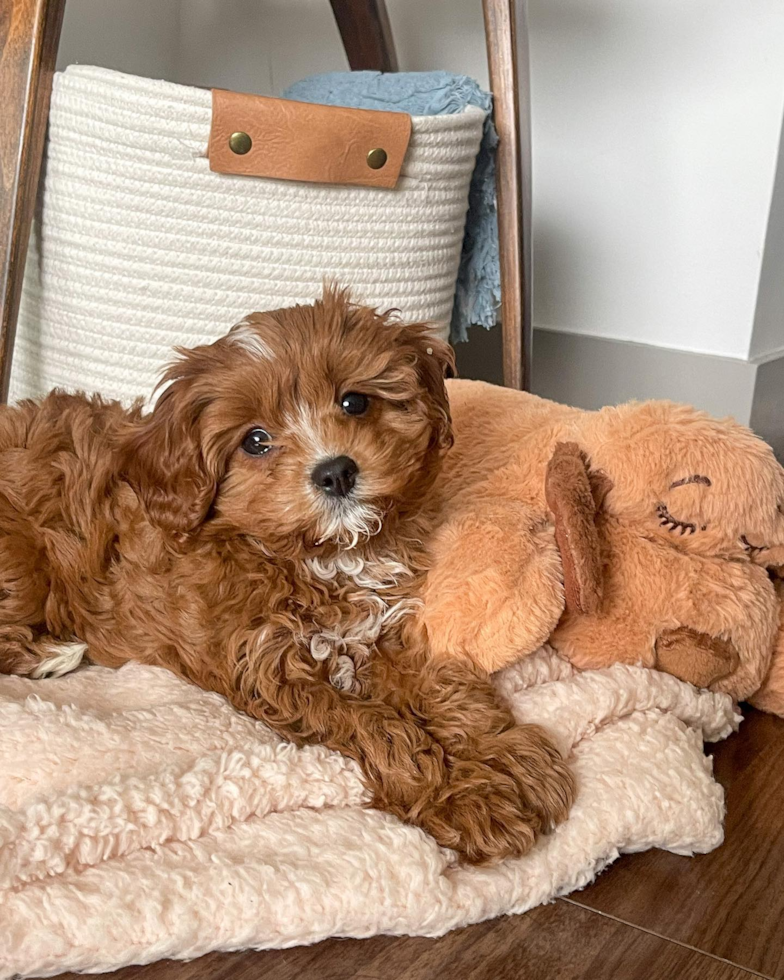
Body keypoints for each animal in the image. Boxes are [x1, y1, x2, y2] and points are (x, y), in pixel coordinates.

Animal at [0, 288, 572, 860]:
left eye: (354, 402)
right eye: (255, 441)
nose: (336, 472)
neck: (319, 556)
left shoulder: (380, 632)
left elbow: (442, 688)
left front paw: (506, 754)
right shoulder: (271, 669)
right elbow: (378, 726)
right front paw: (464, 799)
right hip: (21, 564)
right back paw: (50, 654)